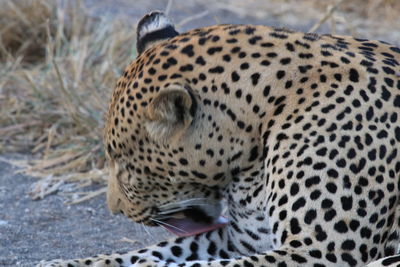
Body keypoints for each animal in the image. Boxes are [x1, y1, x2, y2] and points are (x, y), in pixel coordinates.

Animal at [37, 10, 400, 267]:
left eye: (126, 167)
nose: (114, 209)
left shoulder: (322, 250)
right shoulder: (245, 240)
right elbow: (150, 252)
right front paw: (59, 263)